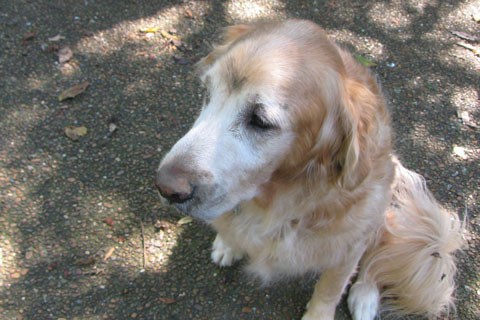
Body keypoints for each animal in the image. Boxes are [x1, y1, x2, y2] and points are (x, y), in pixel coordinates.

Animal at [155, 20, 464, 320]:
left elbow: (330, 289)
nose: (165, 188)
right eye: (207, 93)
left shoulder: (348, 246)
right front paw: (228, 243)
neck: (279, 198)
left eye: (260, 121)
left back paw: (365, 294)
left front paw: (320, 312)